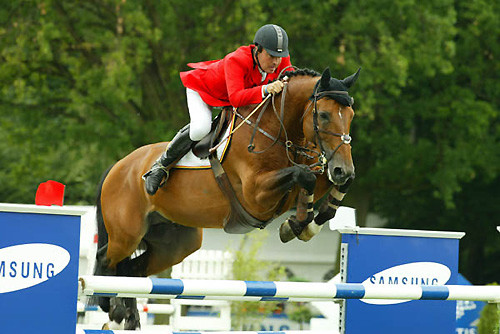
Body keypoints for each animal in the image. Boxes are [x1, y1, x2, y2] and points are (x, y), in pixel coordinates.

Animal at [93, 67, 360, 328]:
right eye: (323, 115)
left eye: (351, 115)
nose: (343, 168)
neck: (278, 131)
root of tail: (117, 166)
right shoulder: (256, 196)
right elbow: (304, 175)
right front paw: (296, 224)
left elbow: (318, 180)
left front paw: (305, 224)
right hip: (128, 234)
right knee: (106, 258)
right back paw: (112, 307)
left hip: (175, 244)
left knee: (131, 269)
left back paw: (130, 318)